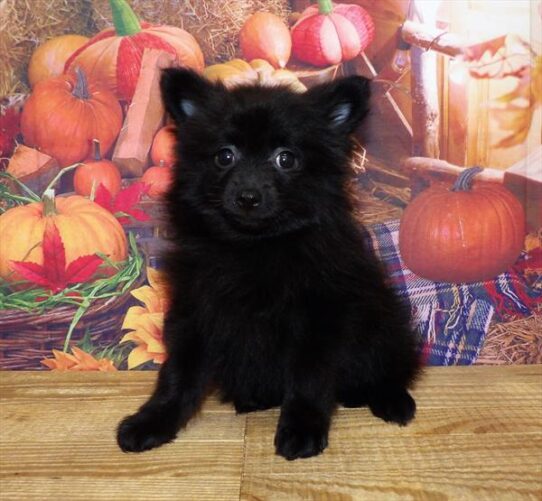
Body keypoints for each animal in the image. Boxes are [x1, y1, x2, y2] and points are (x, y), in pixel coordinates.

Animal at [118, 68, 424, 458]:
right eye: (224, 156)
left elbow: (309, 377)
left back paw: (388, 398)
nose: (248, 196)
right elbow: (177, 374)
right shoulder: (194, 312)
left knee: (389, 366)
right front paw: (153, 421)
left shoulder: (319, 317)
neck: (255, 247)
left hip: (384, 324)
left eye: (286, 159)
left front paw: (302, 428)